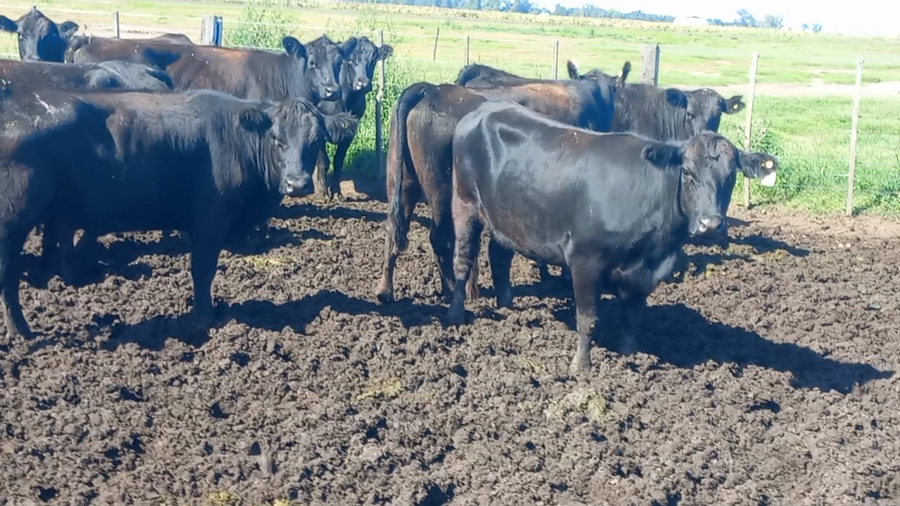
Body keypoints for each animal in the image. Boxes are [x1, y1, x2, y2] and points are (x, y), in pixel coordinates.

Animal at [0, 87, 358, 341]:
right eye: (276, 138)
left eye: (316, 140)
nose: (297, 184)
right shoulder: (210, 219)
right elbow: (203, 269)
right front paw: (203, 317)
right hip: (13, 222)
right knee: (9, 274)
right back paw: (22, 332)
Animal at [313, 36, 393, 200]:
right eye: (349, 60)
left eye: (373, 58)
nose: (363, 83)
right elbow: (323, 161)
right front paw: (323, 192)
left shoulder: (350, 130)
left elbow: (338, 160)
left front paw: (336, 192)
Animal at [375, 65, 628, 305]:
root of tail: (430, 89)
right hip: (441, 190)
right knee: (440, 238)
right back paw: (452, 290)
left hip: (402, 180)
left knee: (393, 229)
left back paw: (385, 290)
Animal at [446, 99, 778, 373]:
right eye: (687, 172)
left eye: (731, 176)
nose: (710, 225)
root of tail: (483, 109)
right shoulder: (585, 259)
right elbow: (587, 318)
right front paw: (581, 367)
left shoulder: (647, 271)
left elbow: (632, 315)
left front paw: (629, 356)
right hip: (464, 203)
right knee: (462, 260)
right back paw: (456, 314)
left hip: (507, 216)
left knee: (499, 255)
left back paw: (507, 306)